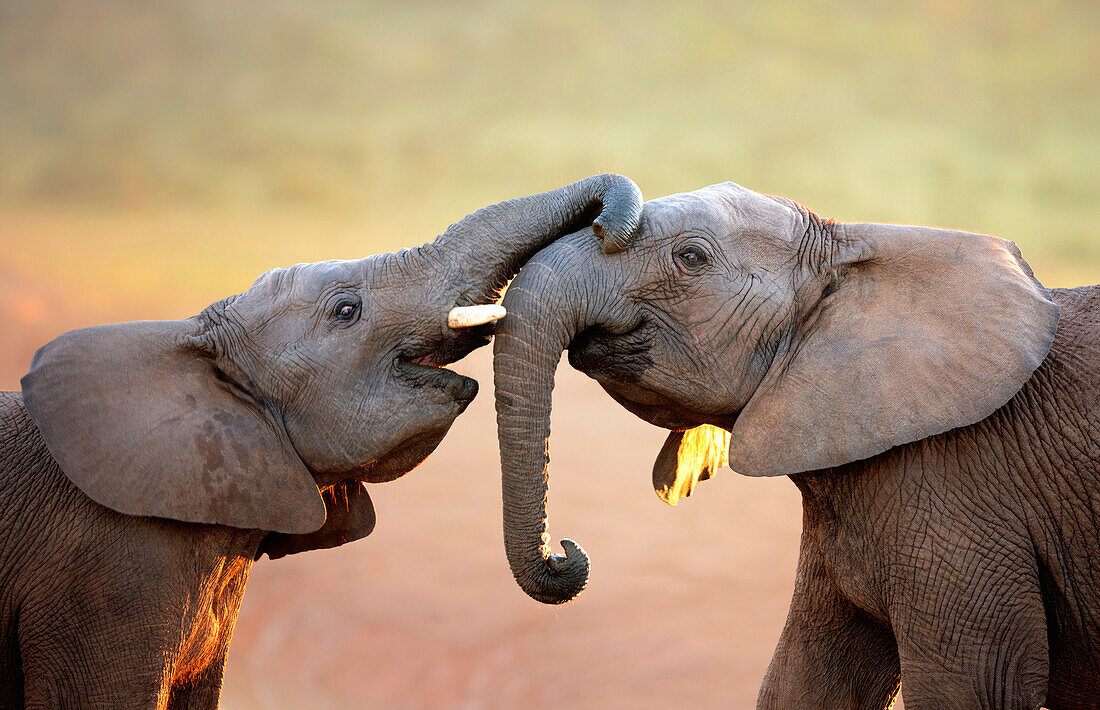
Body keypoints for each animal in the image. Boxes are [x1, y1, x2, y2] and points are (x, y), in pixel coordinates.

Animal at [492, 181, 1100, 708]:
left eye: (691, 257)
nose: (565, 552)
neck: (852, 247)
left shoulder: (960, 494)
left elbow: (974, 688)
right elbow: (804, 682)